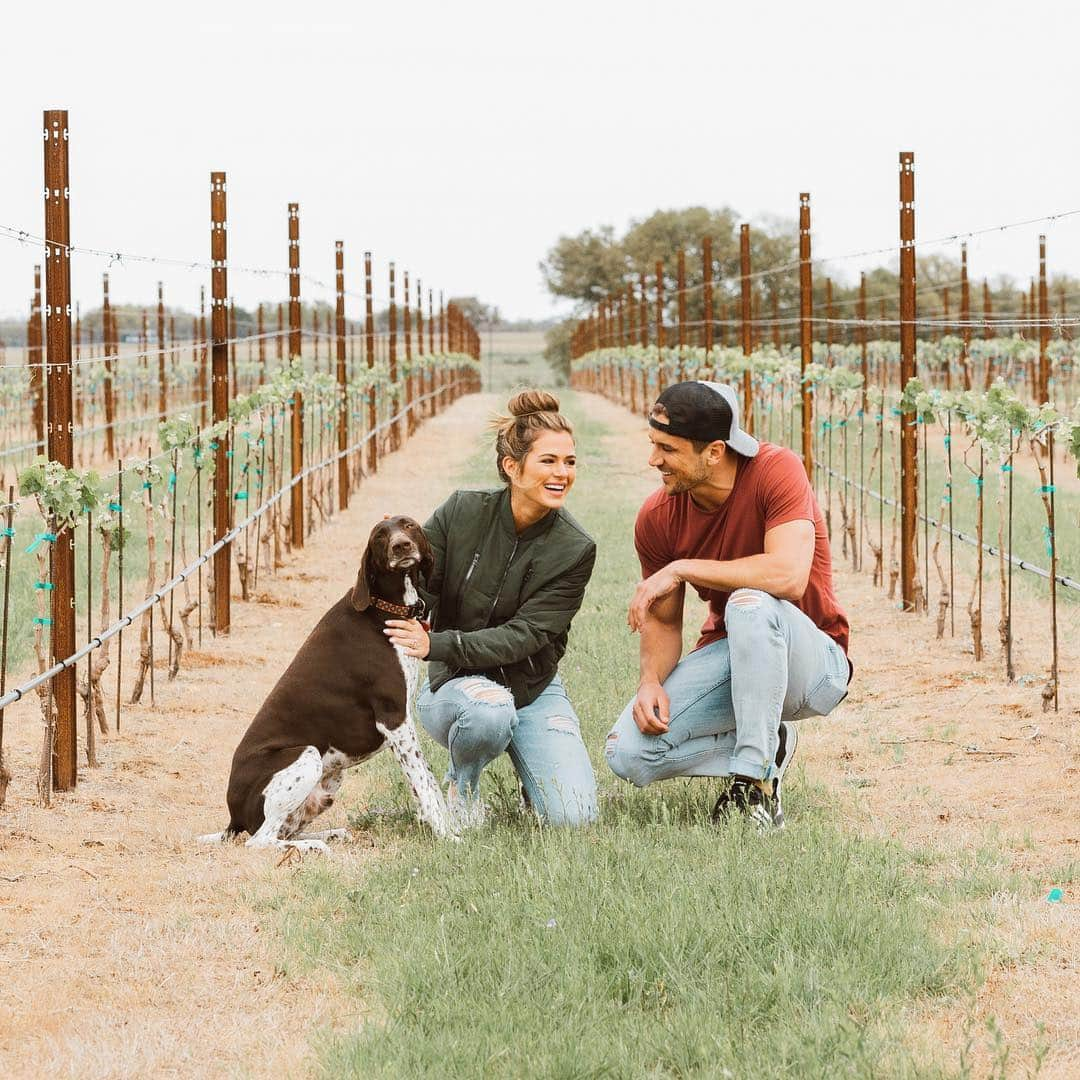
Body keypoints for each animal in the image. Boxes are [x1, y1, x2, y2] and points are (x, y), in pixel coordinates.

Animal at [196, 516, 453, 851]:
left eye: (408, 525)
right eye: (380, 536)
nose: (401, 546)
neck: (384, 607)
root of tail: (233, 815)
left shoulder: (403, 723)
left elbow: (428, 781)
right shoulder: (394, 719)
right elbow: (423, 783)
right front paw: (450, 836)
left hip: (328, 783)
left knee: (283, 831)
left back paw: (330, 834)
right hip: (307, 755)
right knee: (260, 840)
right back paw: (314, 846)